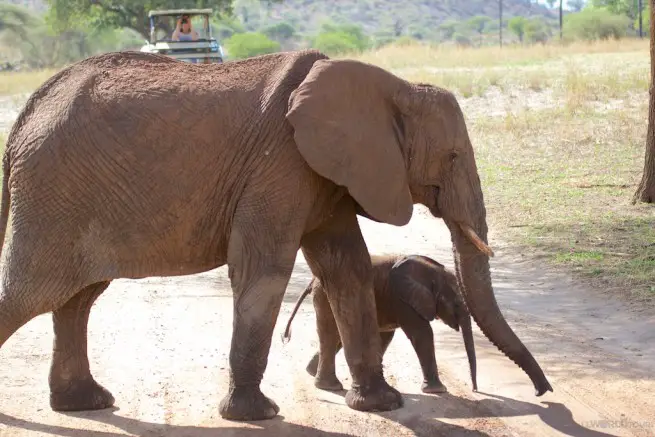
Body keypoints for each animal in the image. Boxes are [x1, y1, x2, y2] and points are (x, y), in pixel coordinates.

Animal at [282, 252, 476, 392]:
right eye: (456, 304)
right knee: (332, 333)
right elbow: (422, 334)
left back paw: (312, 373)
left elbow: (387, 336)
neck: (434, 272)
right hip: (325, 297)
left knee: (338, 335)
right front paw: (438, 391)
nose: (475, 390)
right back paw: (330, 386)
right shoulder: (402, 299)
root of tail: (312, 280)